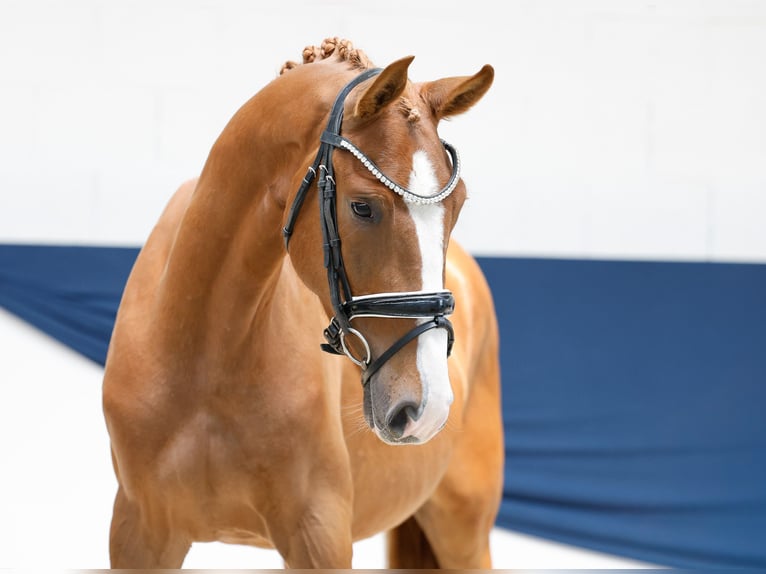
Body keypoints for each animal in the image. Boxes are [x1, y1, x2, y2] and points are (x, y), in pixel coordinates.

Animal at [102, 38, 503, 569]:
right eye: (362, 207)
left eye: (456, 207)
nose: (428, 406)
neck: (205, 357)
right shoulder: (139, 534)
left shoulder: (319, 535)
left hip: (464, 529)